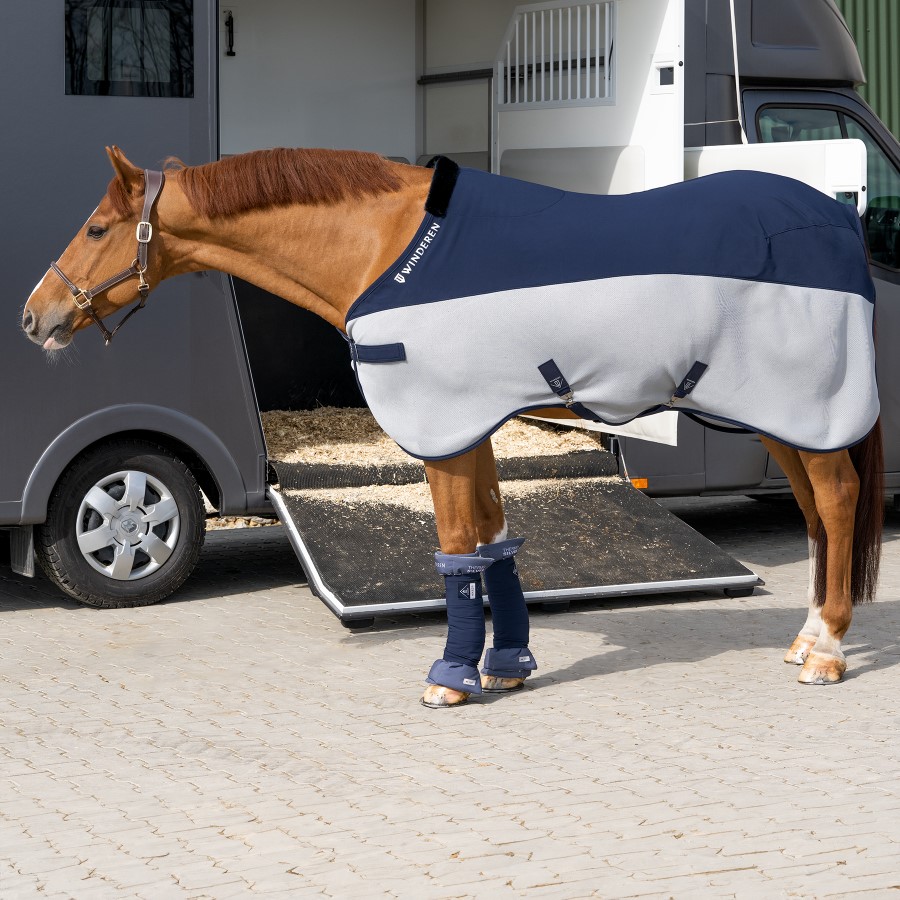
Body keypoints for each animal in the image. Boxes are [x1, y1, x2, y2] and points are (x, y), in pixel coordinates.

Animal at [22, 146, 883, 707]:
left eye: (97, 228)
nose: (37, 316)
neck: (390, 246)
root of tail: (832, 220)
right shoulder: (475, 432)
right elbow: (494, 546)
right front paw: (506, 666)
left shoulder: (445, 432)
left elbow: (457, 550)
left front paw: (452, 680)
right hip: (779, 418)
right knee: (816, 513)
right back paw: (806, 636)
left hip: (802, 408)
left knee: (838, 501)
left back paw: (829, 652)